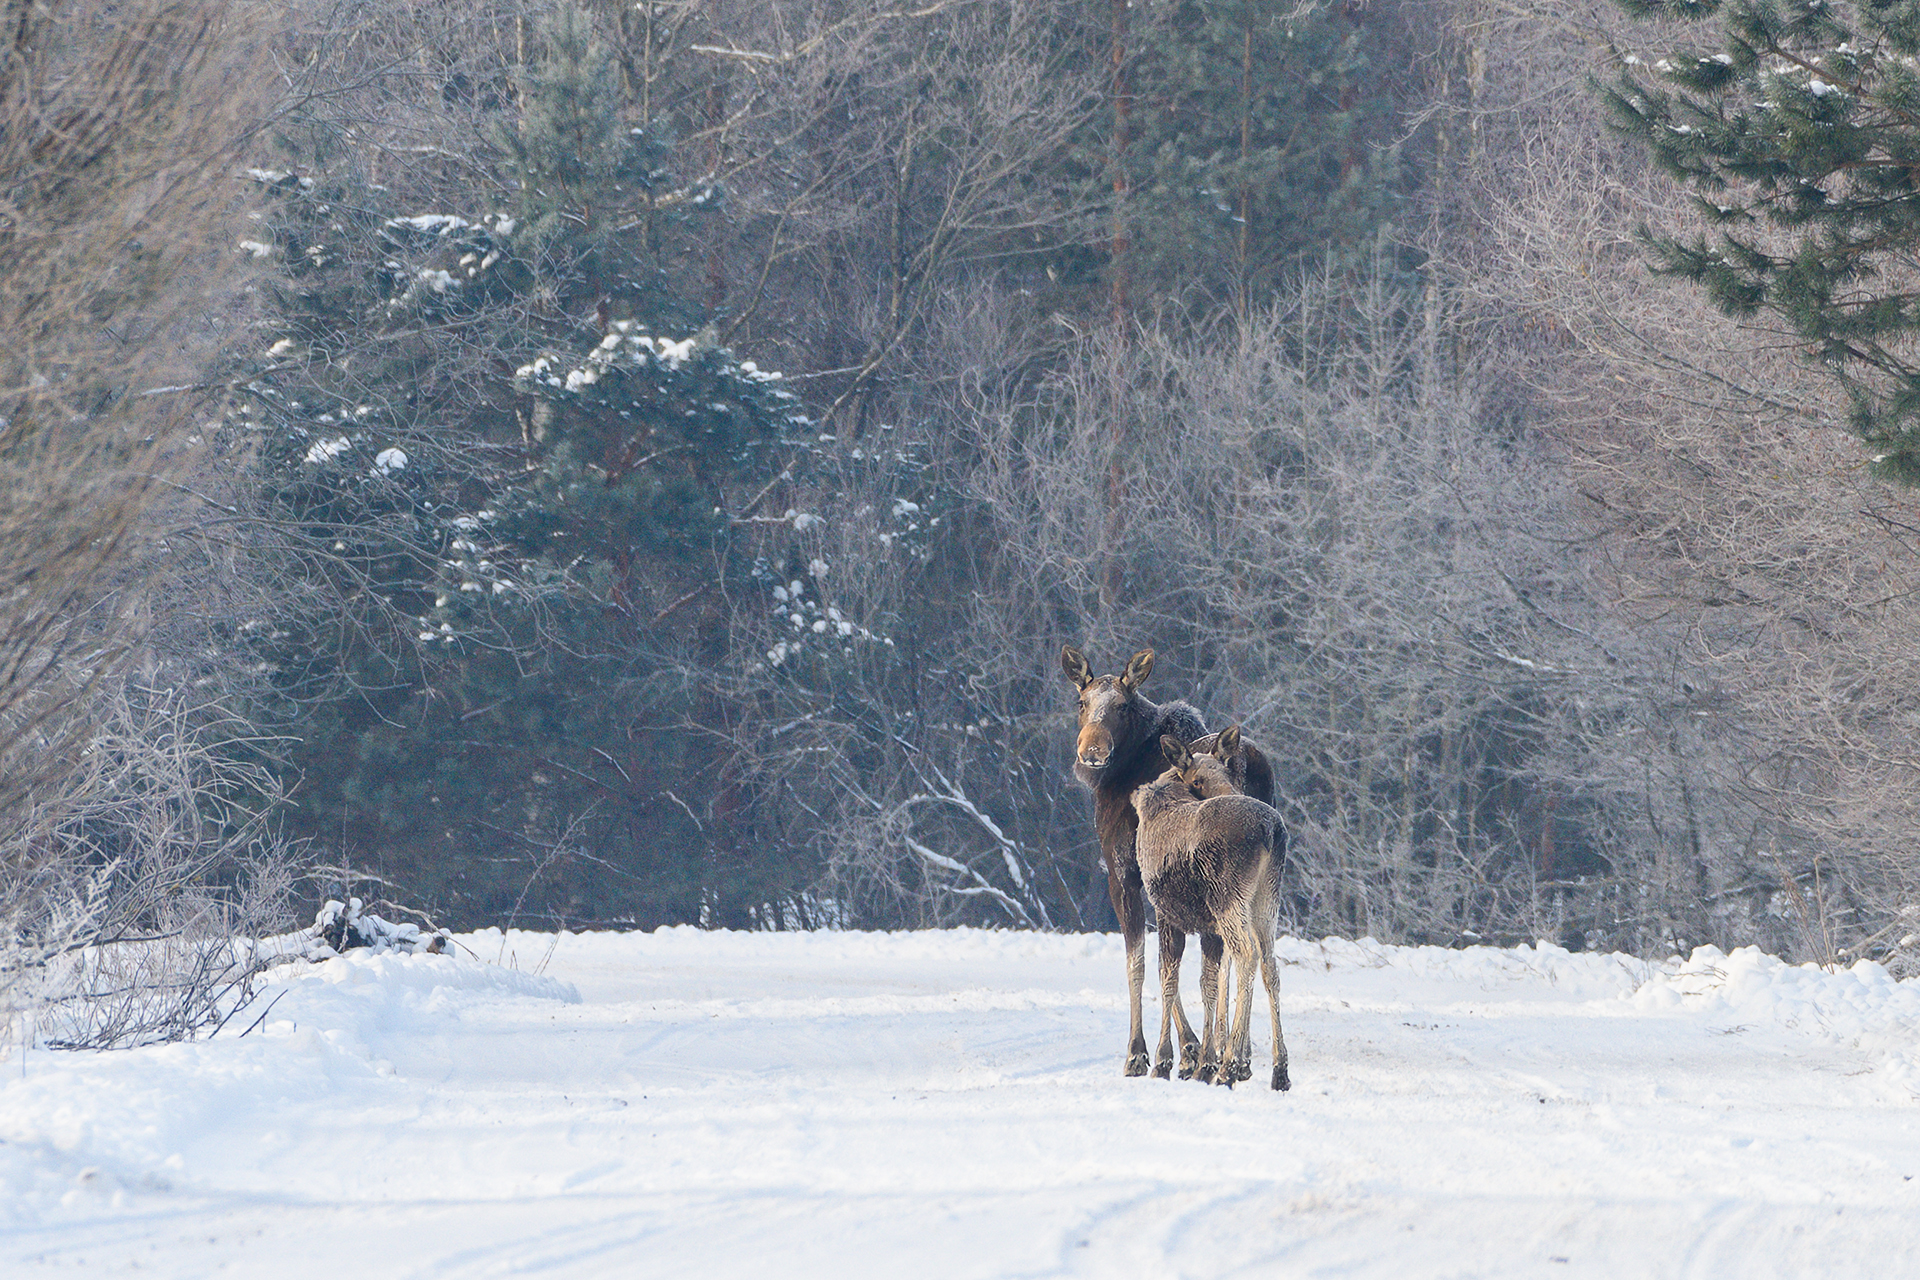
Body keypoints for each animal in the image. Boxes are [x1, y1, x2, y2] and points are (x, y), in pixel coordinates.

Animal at [1067, 644, 1198, 1074]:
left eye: (1122, 706)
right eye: (1081, 702)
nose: (1092, 751)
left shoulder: (1122, 872)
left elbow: (1139, 962)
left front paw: (1141, 1052)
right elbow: (1160, 960)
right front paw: (1190, 1047)